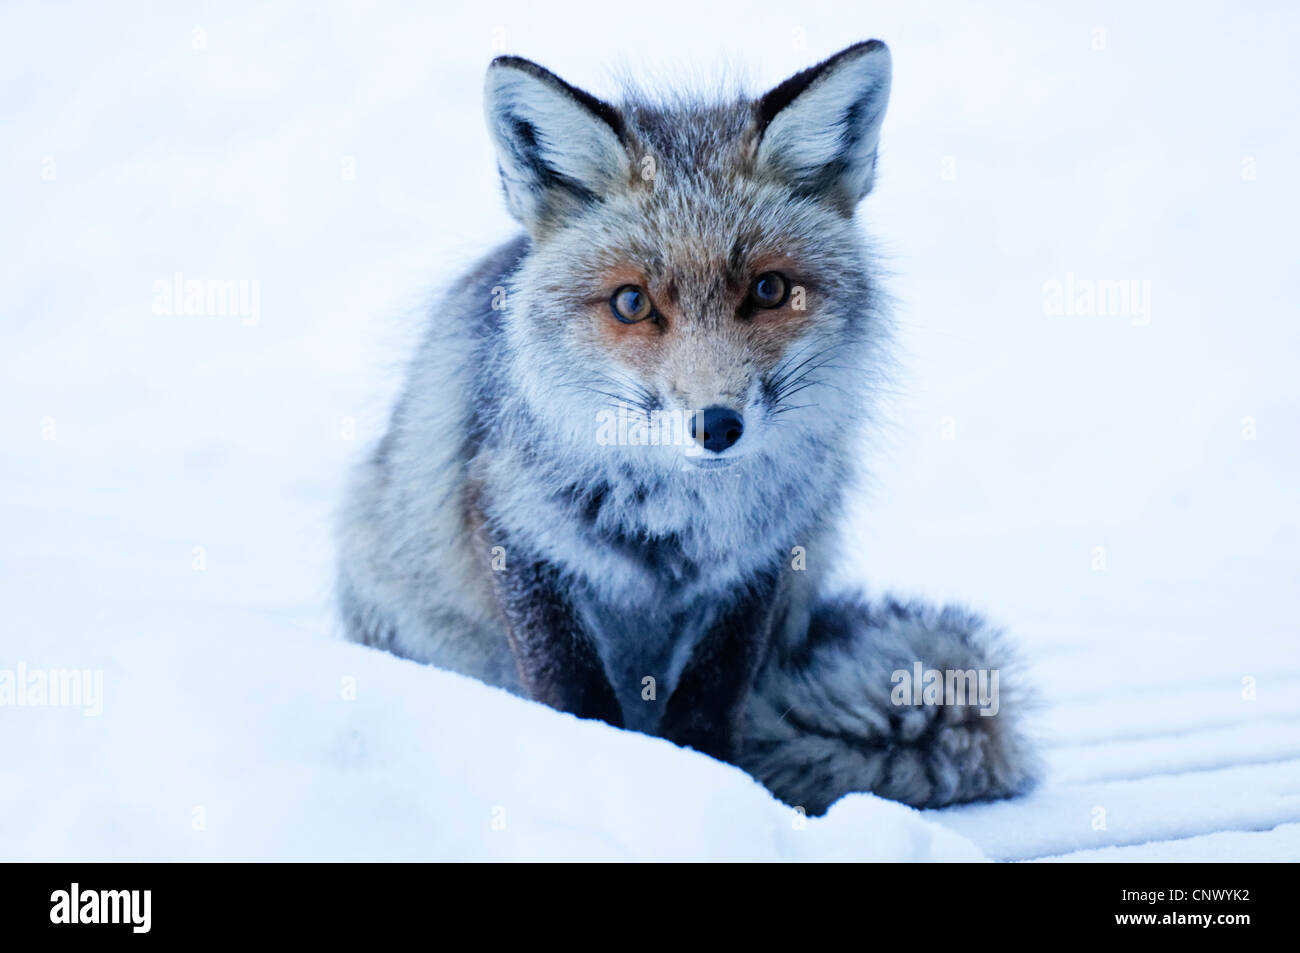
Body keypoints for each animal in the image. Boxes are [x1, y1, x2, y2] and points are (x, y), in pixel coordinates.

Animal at [338, 40, 1039, 815]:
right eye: (631, 302)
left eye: (769, 289)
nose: (717, 425)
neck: (674, 526)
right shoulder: (514, 530)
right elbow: (574, 695)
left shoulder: (761, 563)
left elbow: (707, 706)